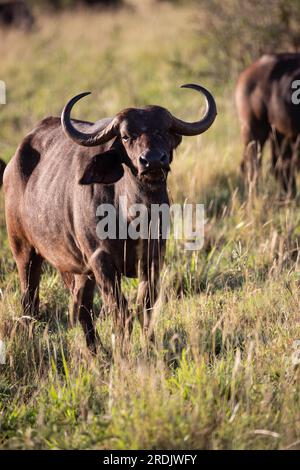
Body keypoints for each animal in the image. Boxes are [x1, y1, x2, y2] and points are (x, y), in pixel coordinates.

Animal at [3, 84, 217, 350]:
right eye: (126, 136)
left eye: (165, 131)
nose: (152, 161)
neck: (134, 216)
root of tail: (12, 165)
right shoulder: (101, 261)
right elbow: (120, 310)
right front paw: (123, 349)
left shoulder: (153, 257)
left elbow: (145, 304)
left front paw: (149, 344)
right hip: (24, 251)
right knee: (30, 302)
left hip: (76, 269)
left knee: (80, 308)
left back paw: (96, 350)